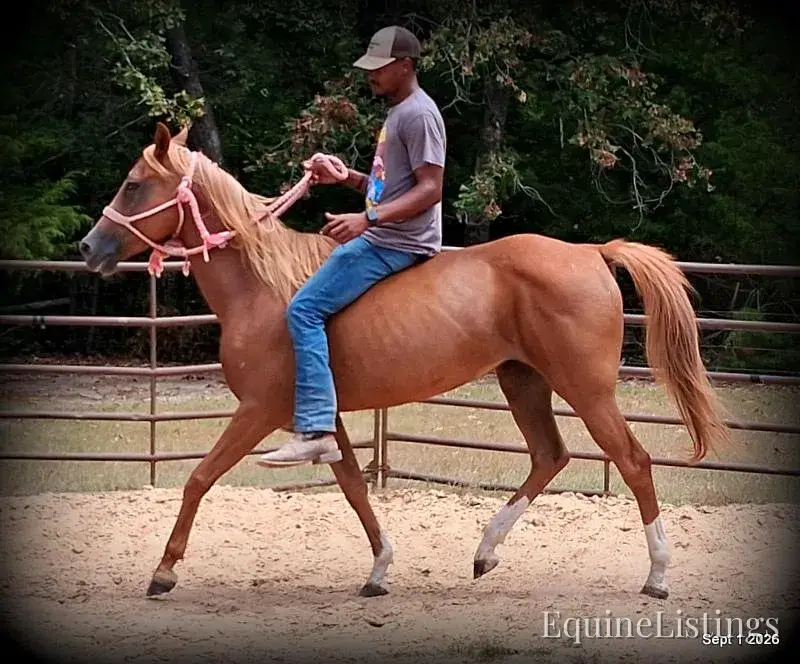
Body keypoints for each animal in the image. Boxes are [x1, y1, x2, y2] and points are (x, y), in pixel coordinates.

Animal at [78, 122, 729, 601]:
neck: (263, 290)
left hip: (586, 389)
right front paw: (379, 570)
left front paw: (164, 571)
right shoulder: (324, 419)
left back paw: (657, 576)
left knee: (633, 461)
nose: (89, 248)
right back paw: (484, 552)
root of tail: (591, 252)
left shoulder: (260, 410)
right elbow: (351, 485)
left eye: (133, 185)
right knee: (551, 456)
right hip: (523, 382)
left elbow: (198, 478)